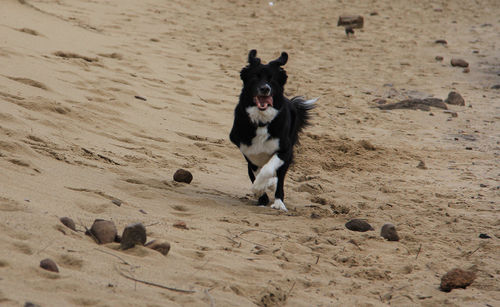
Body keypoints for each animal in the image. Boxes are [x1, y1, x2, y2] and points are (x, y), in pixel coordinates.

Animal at [229, 50, 314, 212]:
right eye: (255, 77)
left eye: (272, 79)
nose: (265, 89)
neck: (262, 121)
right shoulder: (248, 151)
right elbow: (256, 172)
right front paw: (260, 191)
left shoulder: (285, 150)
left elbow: (268, 170)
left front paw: (260, 186)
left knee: (279, 178)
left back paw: (278, 202)